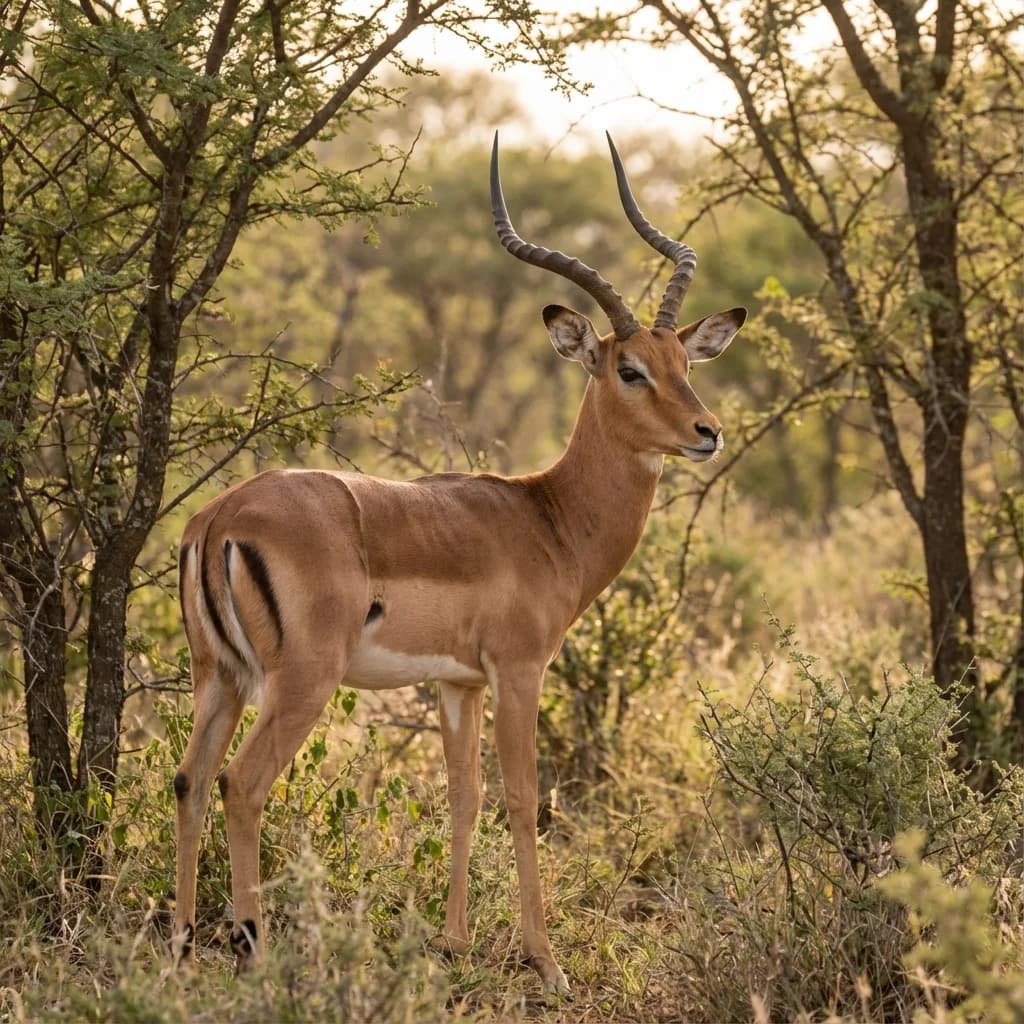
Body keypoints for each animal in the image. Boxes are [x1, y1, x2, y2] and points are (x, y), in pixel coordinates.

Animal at [171, 132, 745, 997]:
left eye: (685, 360)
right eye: (628, 368)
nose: (707, 431)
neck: (547, 519)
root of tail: (221, 519)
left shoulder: (457, 682)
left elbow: (463, 798)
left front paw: (453, 943)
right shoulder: (520, 670)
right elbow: (522, 799)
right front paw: (547, 962)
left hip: (222, 678)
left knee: (191, 780)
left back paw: (172, 947)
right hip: (300, 682)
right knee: (243, 783)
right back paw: (255, 951)